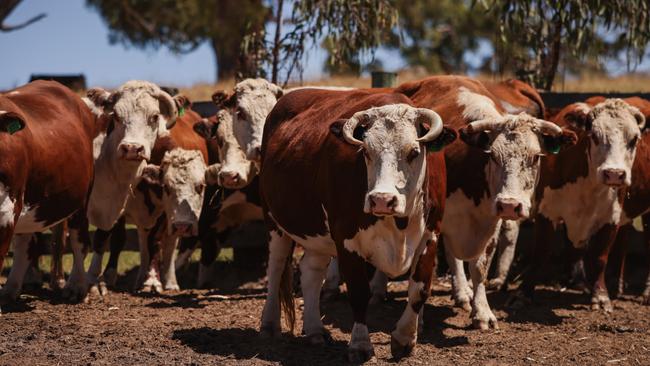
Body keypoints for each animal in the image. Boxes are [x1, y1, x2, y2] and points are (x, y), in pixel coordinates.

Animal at [0, 81, 95, 306]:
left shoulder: (6, 210)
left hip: (81, 199)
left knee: (79, 241)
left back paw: (76, 287)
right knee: (25, 244)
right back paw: (10, 289)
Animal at [392, 75, 576, 328]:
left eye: (535, 157)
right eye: (493, 156)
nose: (509, 205)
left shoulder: (490, 222)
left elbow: (480, 266)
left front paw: (482, 312)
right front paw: (417, 318)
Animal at [512, 98, 644, 312]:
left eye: (634, 139)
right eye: (595, 136)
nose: (614, 174)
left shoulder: (611, 217)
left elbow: (599, 258)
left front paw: (600, 297)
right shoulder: (546, 211)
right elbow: (540, 253)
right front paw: (522, 294)